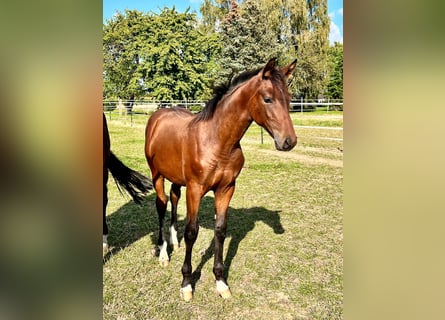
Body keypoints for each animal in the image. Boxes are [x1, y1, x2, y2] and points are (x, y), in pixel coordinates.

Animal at [144, 58, 296, 302]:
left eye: (289, 99)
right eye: (268, 98)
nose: (289, 141)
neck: (218, 141)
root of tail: (158, 116)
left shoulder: (226, 189)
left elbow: (221, 230)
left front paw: (221, 281)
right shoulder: (195, 190)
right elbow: (192, 232)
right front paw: (186, 283)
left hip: (176, 178)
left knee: (174, 198)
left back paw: (174, 241)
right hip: (157, 175)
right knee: (162, 204)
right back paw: (164, 253)